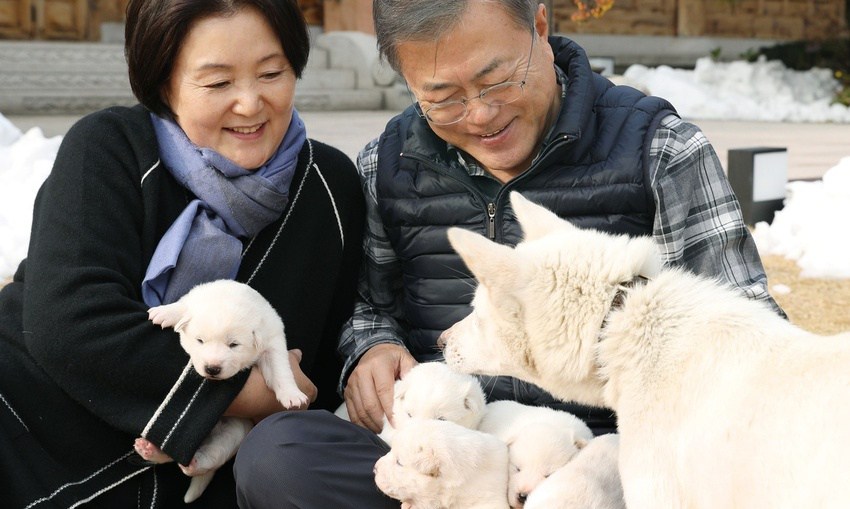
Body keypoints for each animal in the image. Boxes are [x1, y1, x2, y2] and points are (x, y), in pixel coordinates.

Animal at [137, 280, 310, 502]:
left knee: (208, 457)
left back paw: (188, 461)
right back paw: (150, 449)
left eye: (233, 344)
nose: (212, 369)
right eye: (200, 340)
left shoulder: (272, 342)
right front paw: (165, 312)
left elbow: (280, 368)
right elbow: (183, 306)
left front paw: (291, 394)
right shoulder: (194, 297)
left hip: (234, 433)